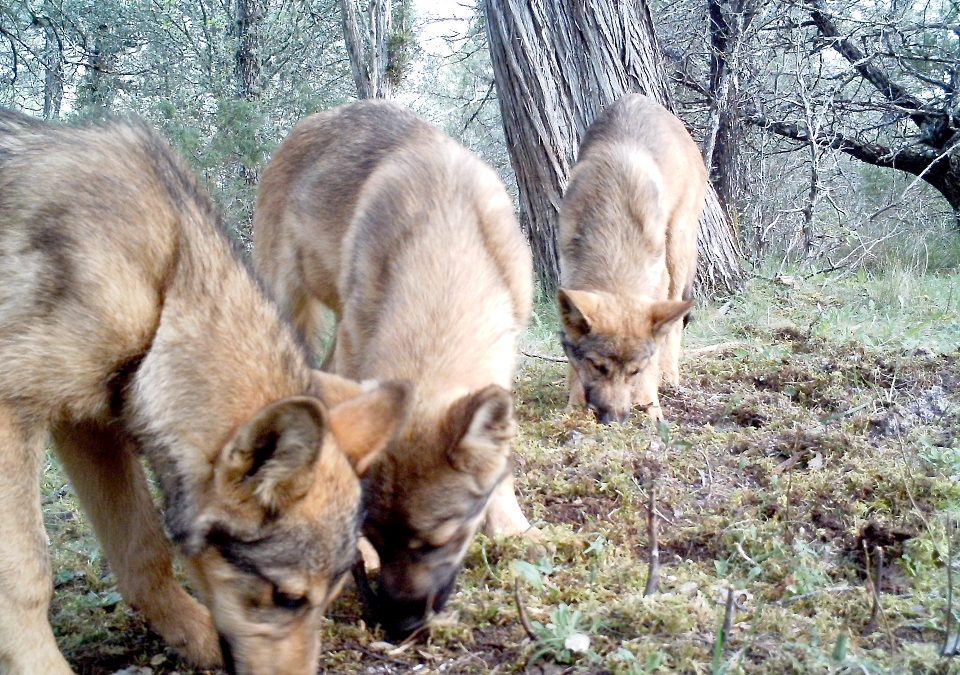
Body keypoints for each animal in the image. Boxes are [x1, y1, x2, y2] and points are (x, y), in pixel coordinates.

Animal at [0, 111, 408, 675]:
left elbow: (144, 550)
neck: (165, 289)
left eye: (330, 598)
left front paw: (196, 636)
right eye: (287, 598)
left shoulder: (90, 423)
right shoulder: (13, 409)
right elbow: (26, 578)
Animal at [556, 93, 704, 422]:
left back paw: (670, 378)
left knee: (674, 323)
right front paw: (573, 405)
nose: (615, 419)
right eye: (598, 367)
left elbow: (655, 354)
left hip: (676, 250)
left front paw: (650, 406)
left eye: (634, 371)